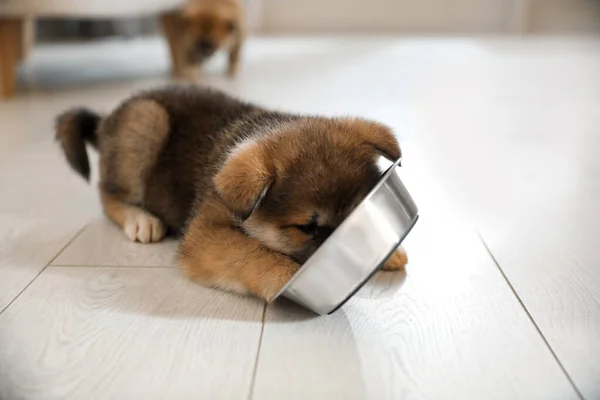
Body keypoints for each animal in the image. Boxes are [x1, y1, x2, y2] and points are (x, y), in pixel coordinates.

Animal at [56, 86, 408, 302]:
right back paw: (140, 219)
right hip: (146, 122)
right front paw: (290, 277)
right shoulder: (205, 233)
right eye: (306, 227)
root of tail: (105, 120)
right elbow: (255, 254)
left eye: (360, 213)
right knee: (107, 195)